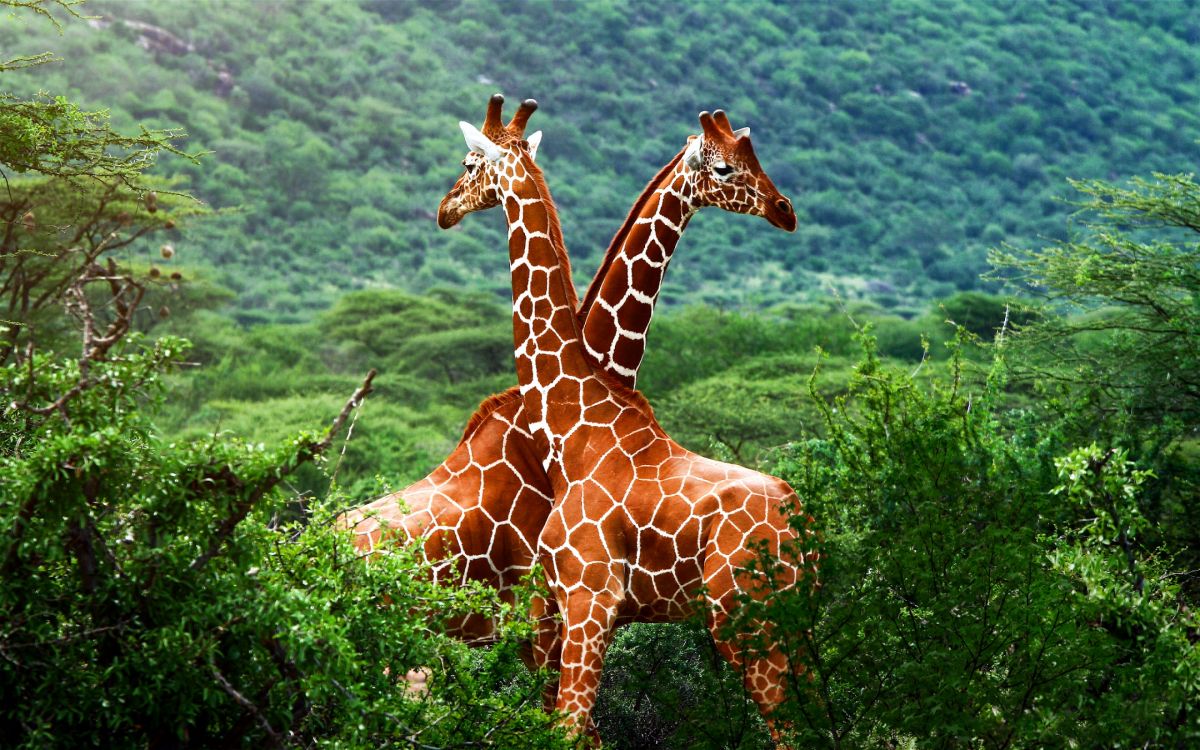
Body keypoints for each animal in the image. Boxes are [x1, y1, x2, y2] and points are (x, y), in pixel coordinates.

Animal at [435, 94, 814, 745]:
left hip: (747, 619)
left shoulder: (587, 599)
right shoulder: (565, 607)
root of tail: (805, 529)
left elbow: (567, 730)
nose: (444, 209)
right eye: (726, 166)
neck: (573, 424)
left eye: (467, 163)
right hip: (796, 624)